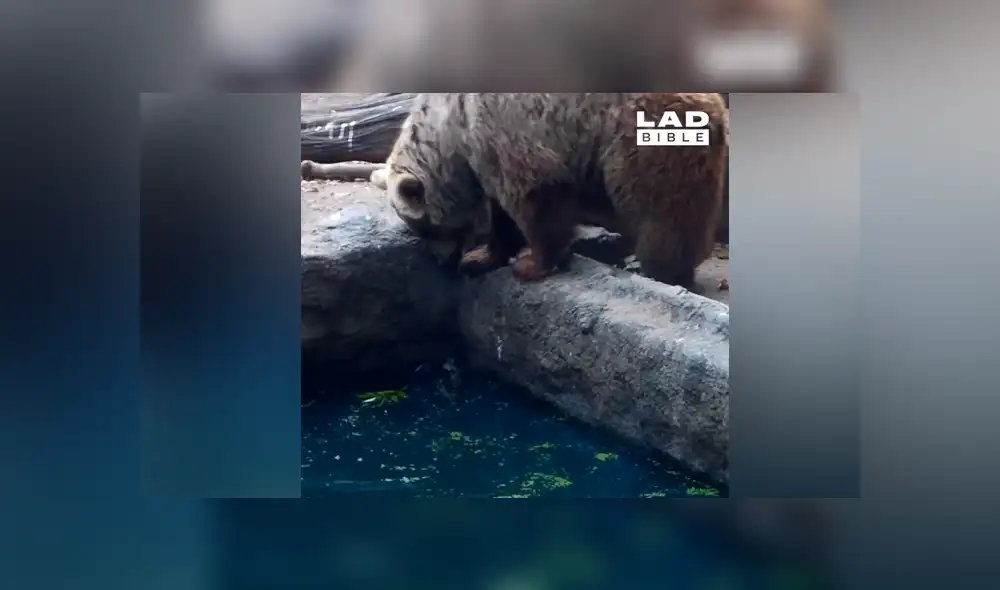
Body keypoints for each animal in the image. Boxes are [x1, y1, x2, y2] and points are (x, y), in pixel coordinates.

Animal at [384, 93, 728, 288]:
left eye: (426, 228)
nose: (443, 261)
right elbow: (502, 212)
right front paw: (480, 258)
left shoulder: (503, 130)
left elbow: (536, 193)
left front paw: (531, 264)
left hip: (642, 140)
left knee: (661, 215)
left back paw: (660, 271)